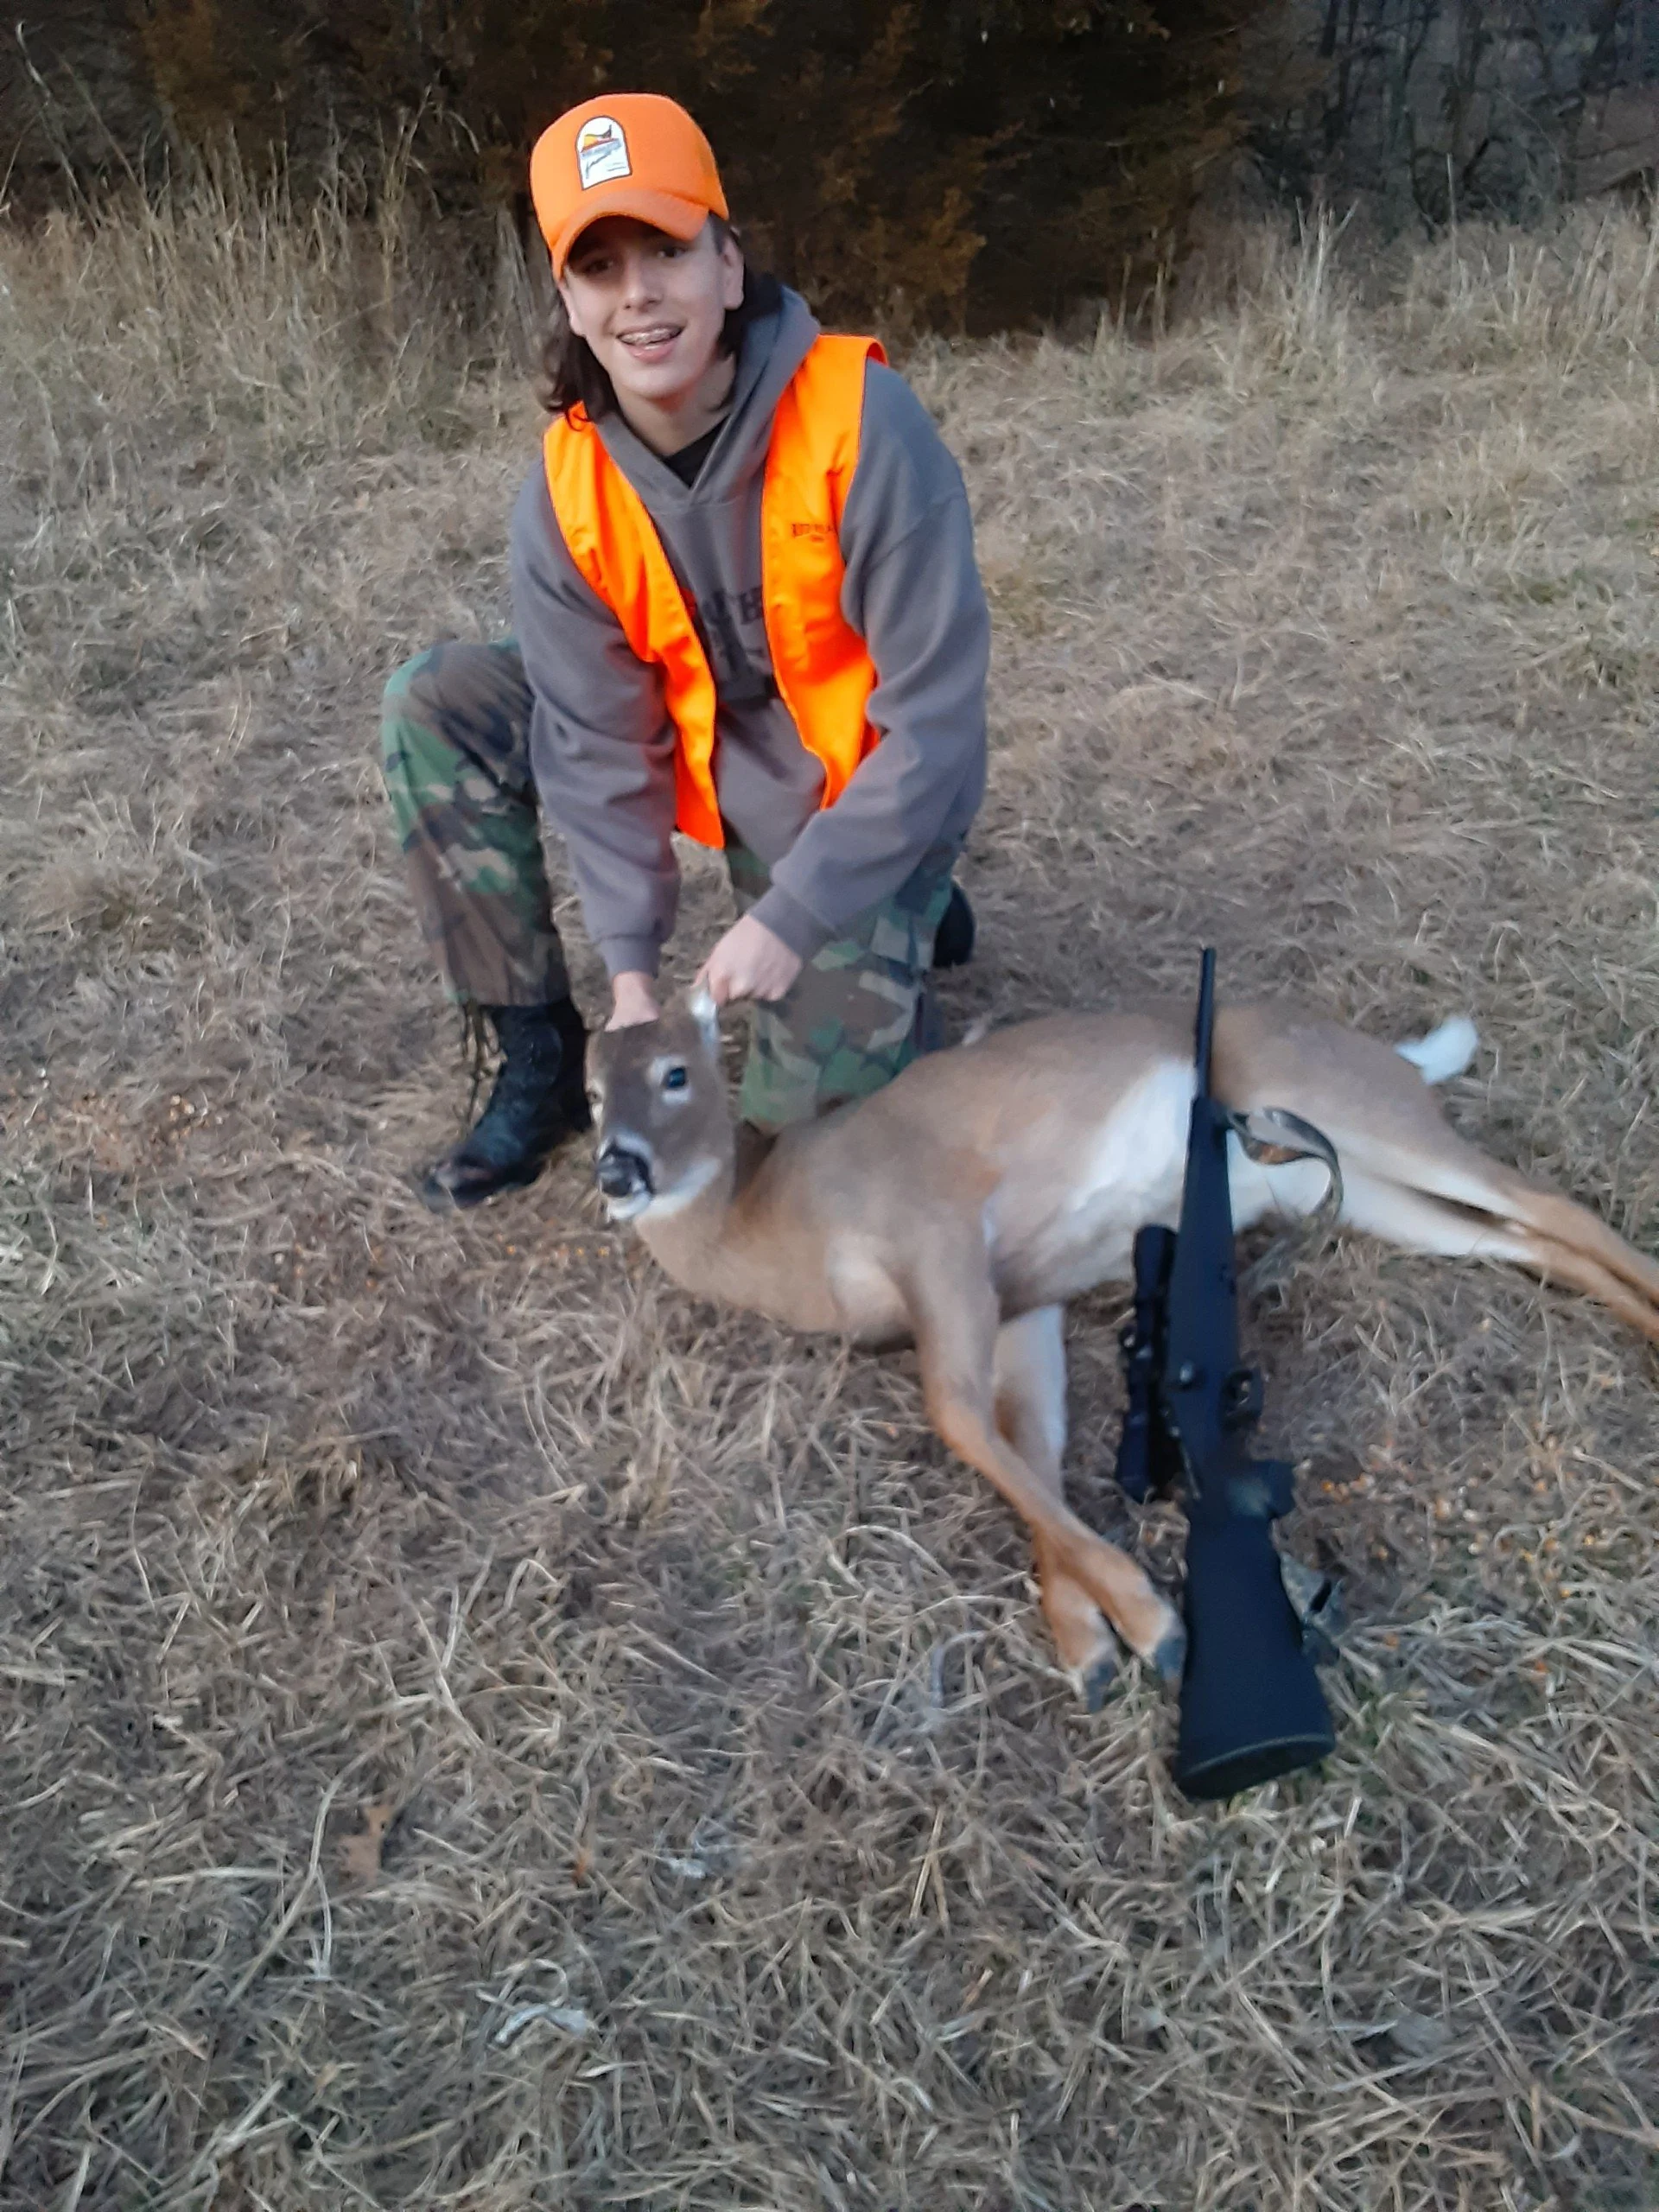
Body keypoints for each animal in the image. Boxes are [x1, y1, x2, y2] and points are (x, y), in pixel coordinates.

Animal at [585, 993, 1659, 1706]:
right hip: (1328, 1187)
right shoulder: (1023, 1300)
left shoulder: (936, 1226)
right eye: (594, 1089)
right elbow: (1031, 1447)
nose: (617, 1169)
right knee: (1523, 1238)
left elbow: (958, 1417)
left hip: (1339, 1104)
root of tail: (1393, 1054)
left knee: (1547, 1202)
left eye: (676, 1071)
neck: (778, 1229)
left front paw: (1155, 1626)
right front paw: (1089, 1641)